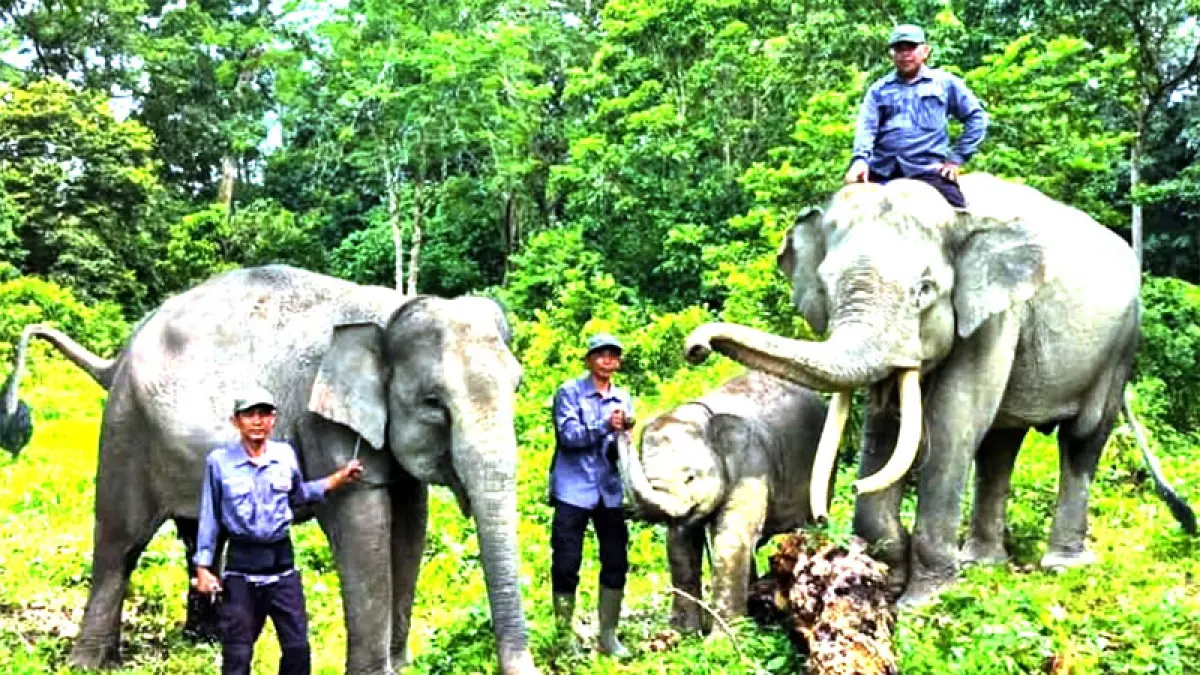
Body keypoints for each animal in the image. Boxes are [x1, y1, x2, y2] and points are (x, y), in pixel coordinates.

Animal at [0, 265, 538, 675]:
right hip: (124, 429)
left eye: (517, 386)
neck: (389, 312)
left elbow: (410, 523)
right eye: (434, 405)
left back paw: (204, 641)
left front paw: (401, 666)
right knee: (120, 543)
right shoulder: (324, 423)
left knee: (199, 535)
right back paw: (89, 663)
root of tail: (117, 358)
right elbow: (364, 526)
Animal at [617, 371, 830, 631]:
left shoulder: (752, 464)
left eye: (690, 477)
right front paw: (684, 632)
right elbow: (679, 544)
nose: (625, 419)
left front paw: (722, 636)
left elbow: (730, 539)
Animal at [685, 174, 1196, 604]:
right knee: (1000, 445)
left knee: (1082, 438)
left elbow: (951, 426)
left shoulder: (994, 317)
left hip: (1120, 345)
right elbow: (885, 431)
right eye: (826, 289)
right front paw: (886, 576)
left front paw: (922, 602)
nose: (696, 347)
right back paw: (983, 563)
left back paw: (1061, 565)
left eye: (925, 290)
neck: (957, 215)